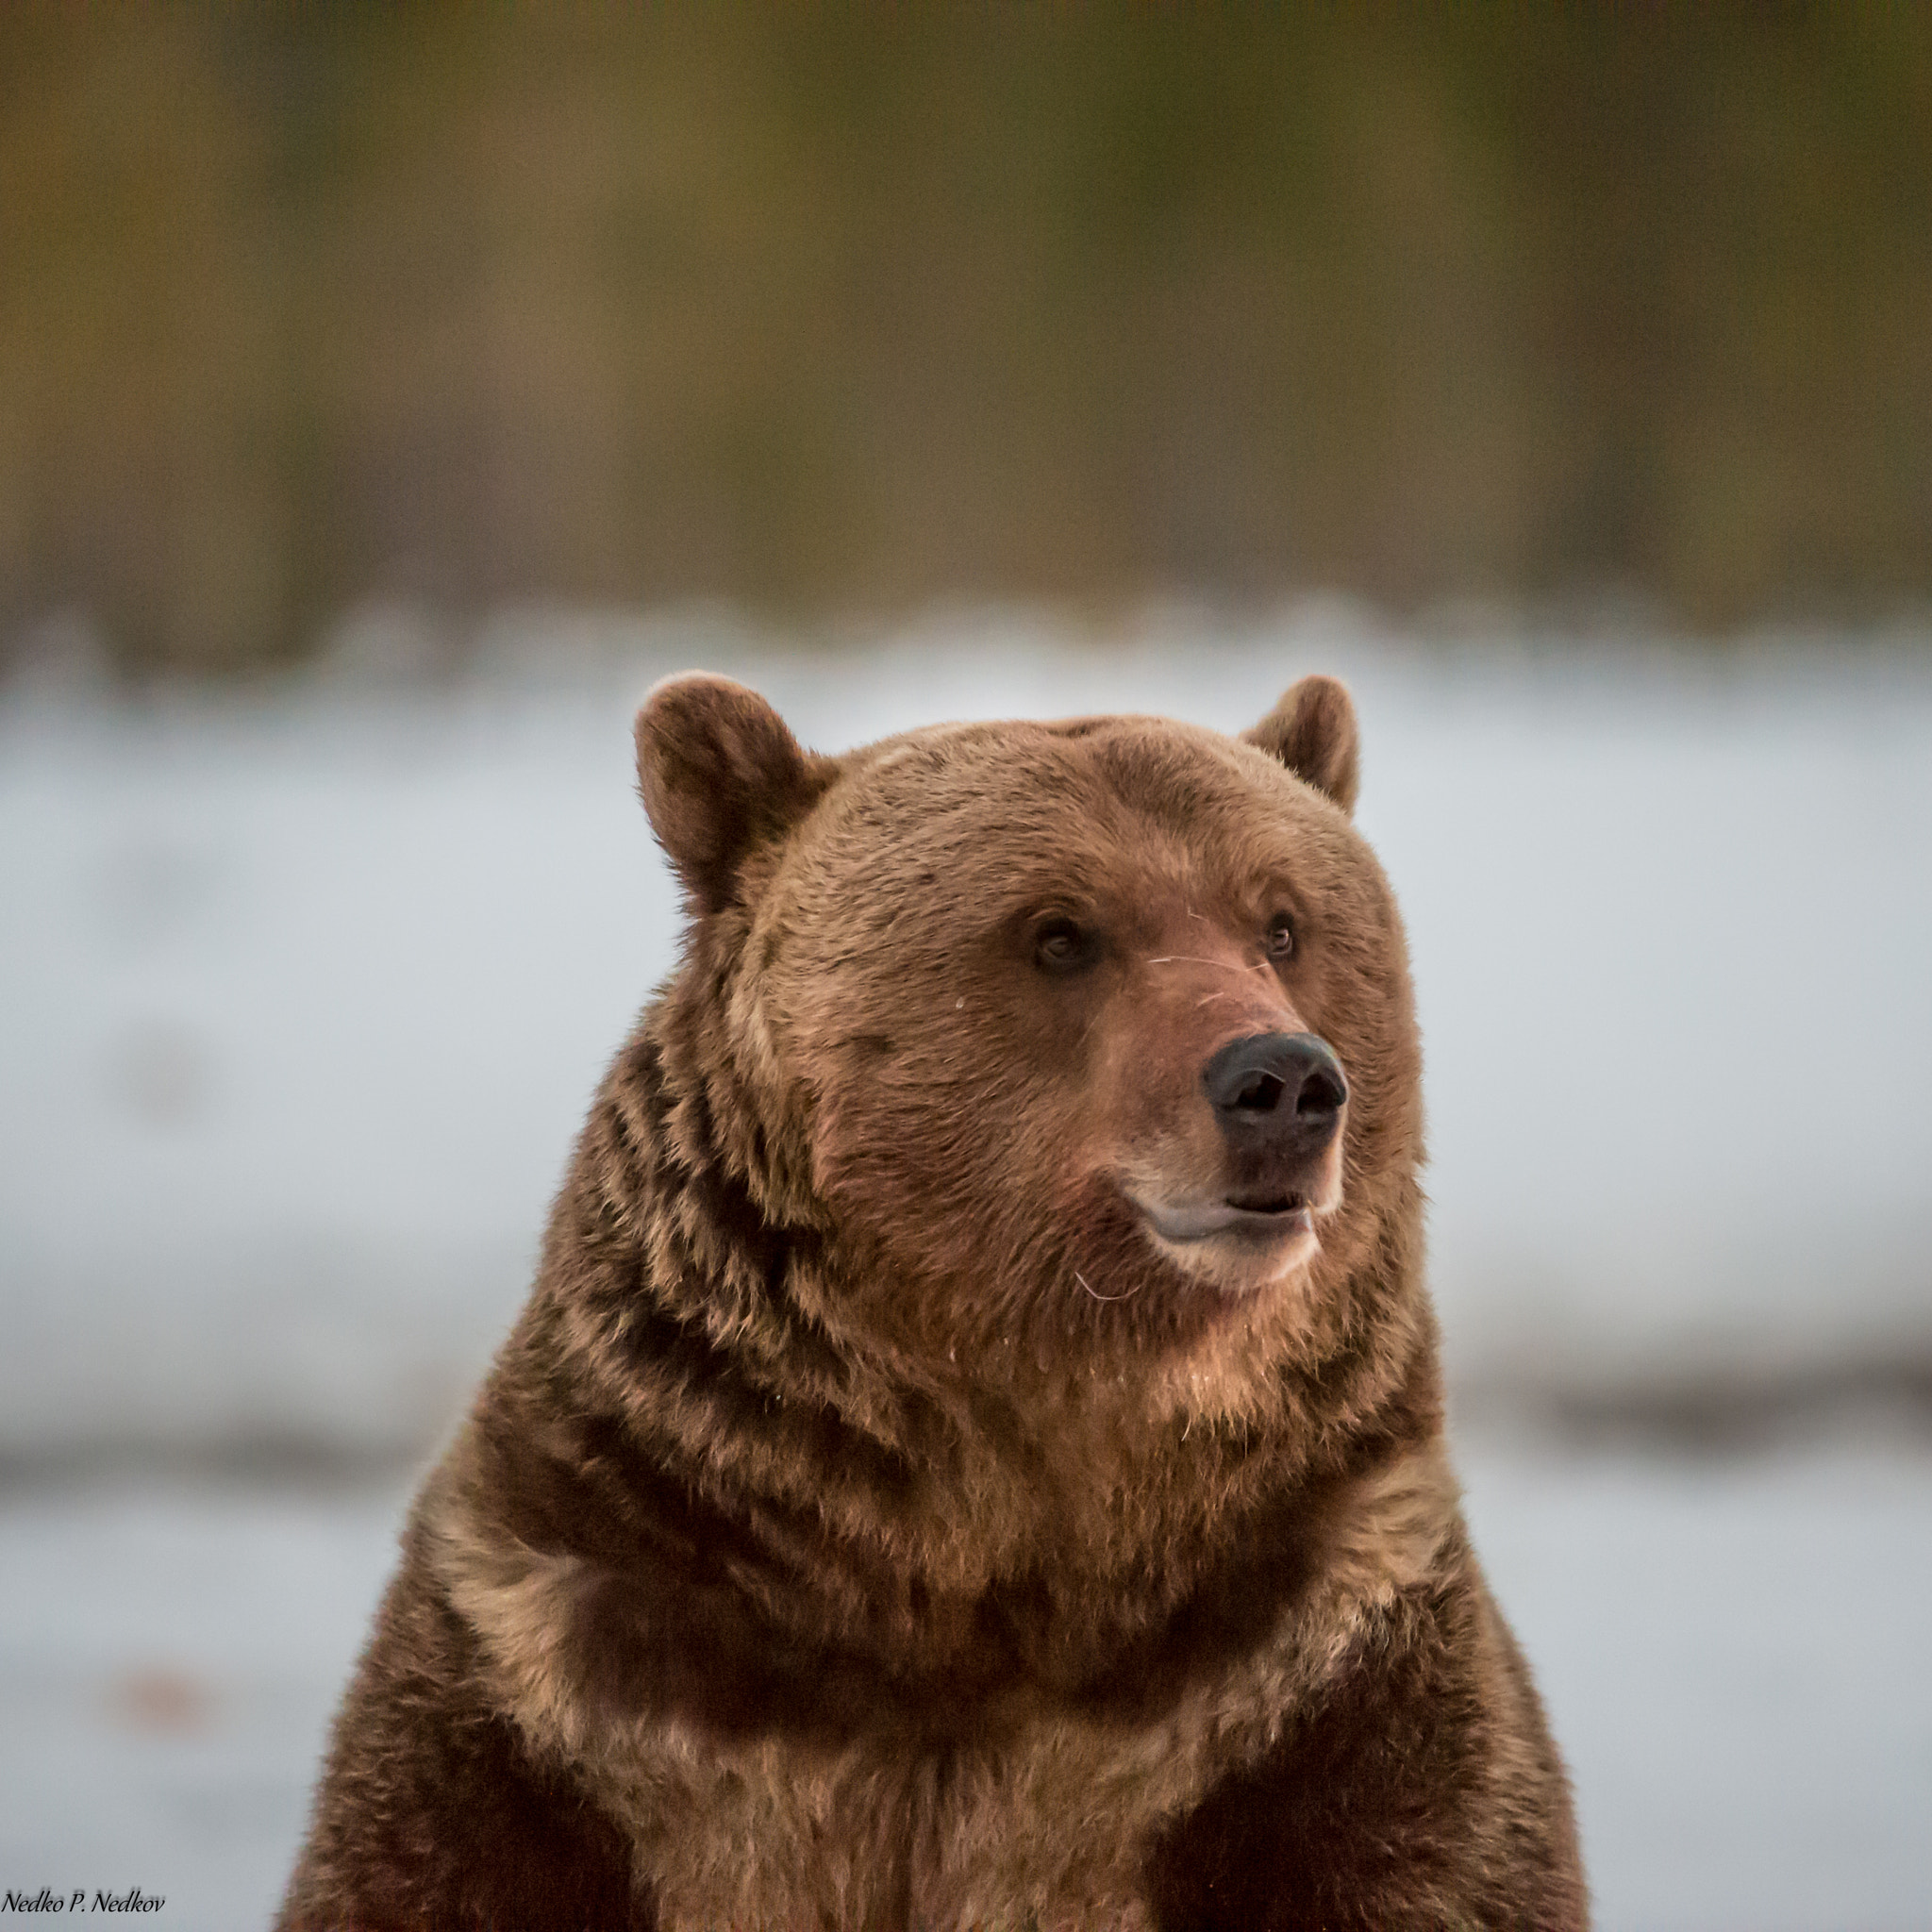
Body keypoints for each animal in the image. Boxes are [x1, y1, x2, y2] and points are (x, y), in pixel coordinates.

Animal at [279, 672, 1586, 1931]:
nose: (1282, 1081)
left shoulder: (1306, 1671)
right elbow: (424, 1860)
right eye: (1059, 931)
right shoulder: (566, 1685)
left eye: (1281, 920)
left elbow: (1430, 1854)